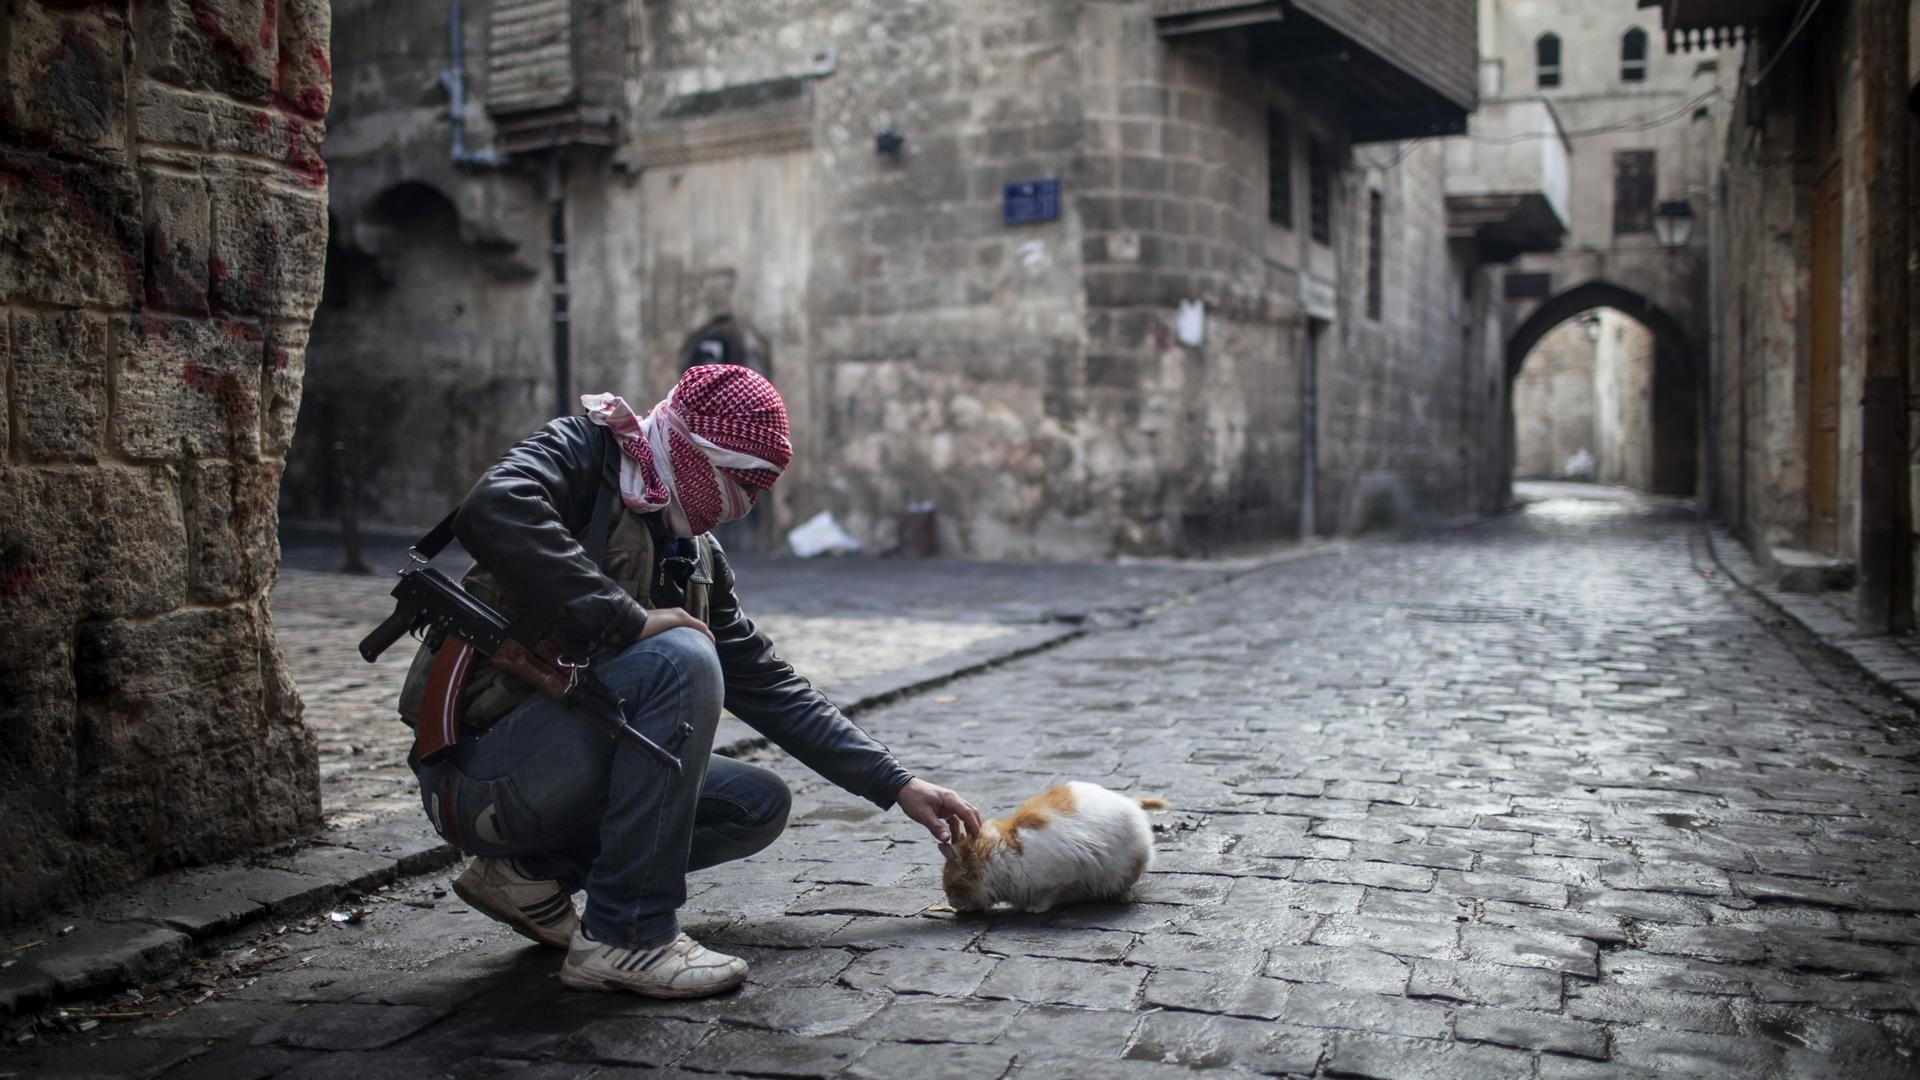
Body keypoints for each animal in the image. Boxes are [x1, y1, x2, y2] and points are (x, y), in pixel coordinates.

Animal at [933, 776, 1159, 910]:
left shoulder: (1063, 877)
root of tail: (1131, 803)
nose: (951, 904)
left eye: (950, 889)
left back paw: (1123, 896)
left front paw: (1032, 909)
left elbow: (1049, 897)